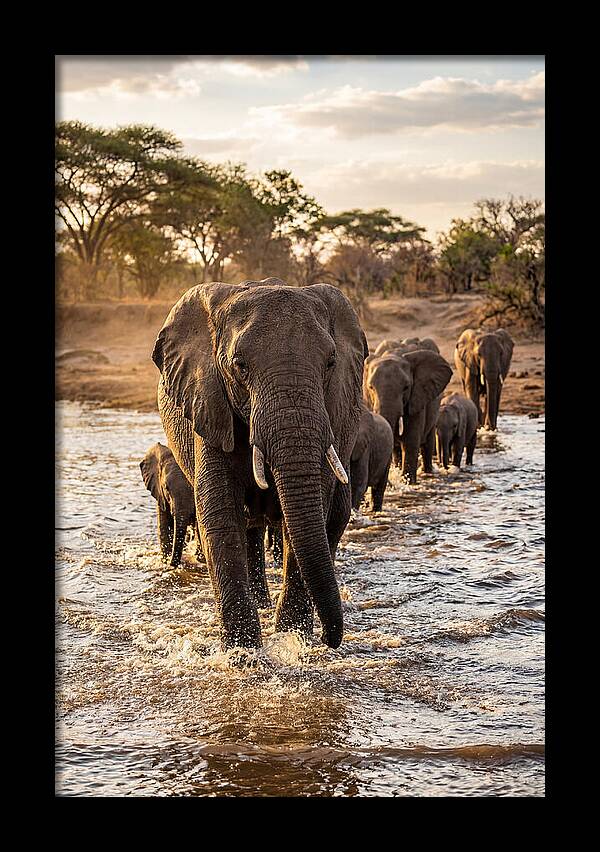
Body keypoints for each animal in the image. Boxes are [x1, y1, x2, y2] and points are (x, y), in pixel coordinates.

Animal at [151, 277, 368, 651]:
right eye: (240, 366)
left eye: (330, 363)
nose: (331, 639)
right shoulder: (209, 402)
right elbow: (220, 514)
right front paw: (243, 653)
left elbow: (312, 510)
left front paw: (293, 639)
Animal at [363, 339, 453, 484]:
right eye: (371, 387)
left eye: (406, 387)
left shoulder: (417, 397)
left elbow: (410, 442)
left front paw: (408, 483)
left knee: (428, 440)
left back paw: (428, 472)